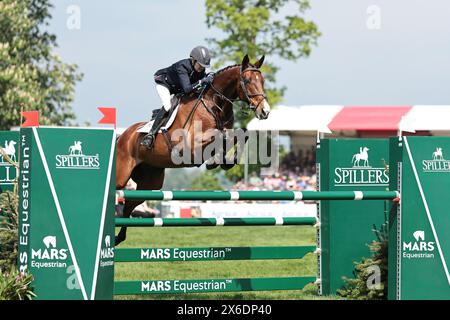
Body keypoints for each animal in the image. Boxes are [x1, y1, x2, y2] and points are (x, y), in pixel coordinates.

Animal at [116, 55, 270, 245]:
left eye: (262, 81)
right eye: (247, 81)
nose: (265, 111)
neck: (214, 104)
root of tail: (123, 136)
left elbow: (240, 134)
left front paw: (224, 162)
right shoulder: (188, 147)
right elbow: (221, 135)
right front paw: (217, 161)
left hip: (150, 182)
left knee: (129, 204)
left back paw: (118, 238)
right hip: (122, 175)